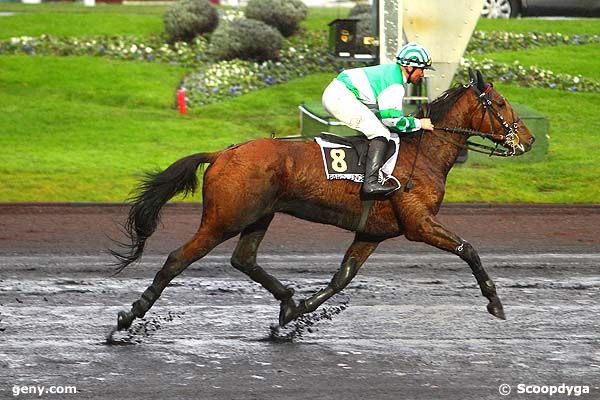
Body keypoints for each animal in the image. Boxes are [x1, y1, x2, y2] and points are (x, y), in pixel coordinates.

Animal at [111, 70, 536, 332]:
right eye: (500, 103)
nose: (528, 140)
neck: (424, 152)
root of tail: (221, 153)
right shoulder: (419, 224)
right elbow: (468, 249)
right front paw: (495, 302)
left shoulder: (372, 233)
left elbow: (341, 278)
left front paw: (300, 311)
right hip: (223, 220)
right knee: (176, 260)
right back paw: (129, 317)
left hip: (258, 217)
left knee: (243, 260)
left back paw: (286, 301)